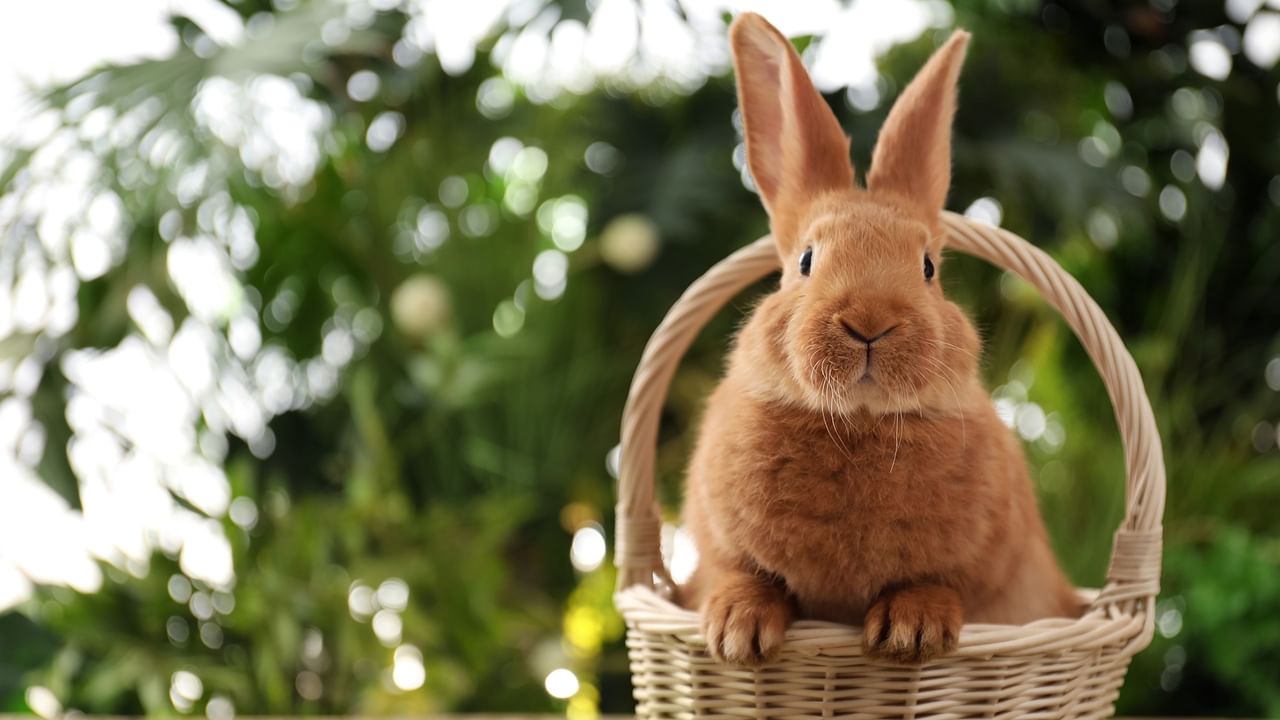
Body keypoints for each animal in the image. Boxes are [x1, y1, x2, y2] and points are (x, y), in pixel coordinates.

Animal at [679, 13, 1082, 667]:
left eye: (929, 268)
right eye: (806, 261)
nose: (870, 322)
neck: (860, 422)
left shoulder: (986, 567)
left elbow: (938, 584)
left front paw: (912, 631)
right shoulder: (719, 545)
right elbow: (744, 575)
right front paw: (736, 632)